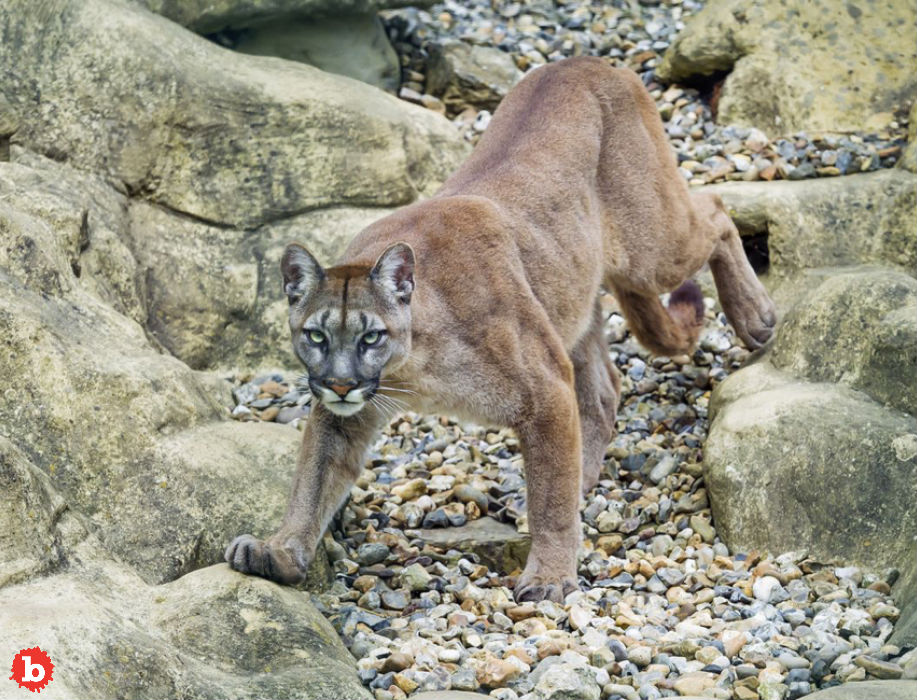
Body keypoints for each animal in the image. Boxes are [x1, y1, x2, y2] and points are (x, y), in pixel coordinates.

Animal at [224, 57, 772, 600]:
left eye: (371, 336)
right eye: (315, 336)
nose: (340, 383)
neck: (416, 364)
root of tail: (587, 60)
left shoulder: (544, 387)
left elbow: (550, 496)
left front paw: (549, 575)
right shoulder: (344, 416)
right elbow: (313, 480)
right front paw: (280, 550)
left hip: (648, 248)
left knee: (716, 213)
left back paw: (757, 317)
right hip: (568, 295)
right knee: (602, 390)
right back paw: (583, 476)